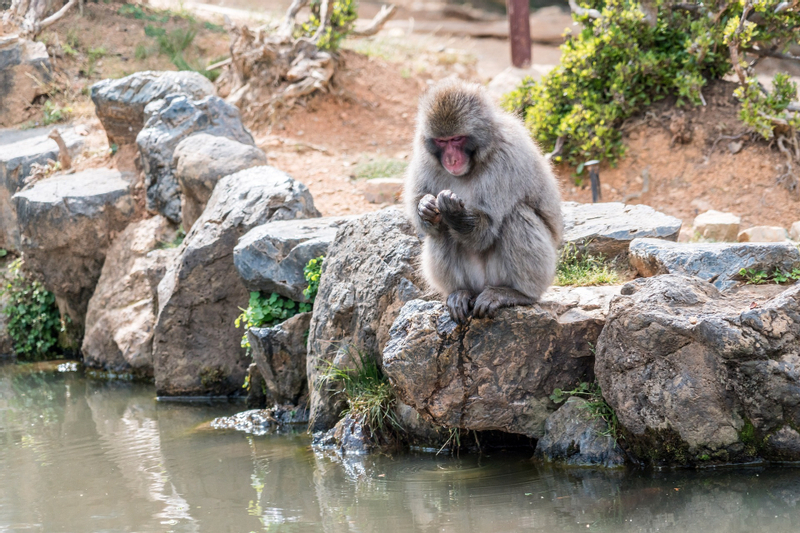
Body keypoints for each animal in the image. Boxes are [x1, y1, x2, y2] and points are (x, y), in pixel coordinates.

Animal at [404, 78, 563, 324]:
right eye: (441, 141)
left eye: (457, 139)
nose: (451, 159)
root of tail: (481, 287)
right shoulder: (424, 157)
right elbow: (426, 218)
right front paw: (426, 207)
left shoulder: (507, 158)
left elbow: (485, 230)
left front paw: (454, 212)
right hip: (474, 279)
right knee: (440, 232)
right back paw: (460, 292)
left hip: (516, 274)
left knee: (517, 215)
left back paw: (518, 293)